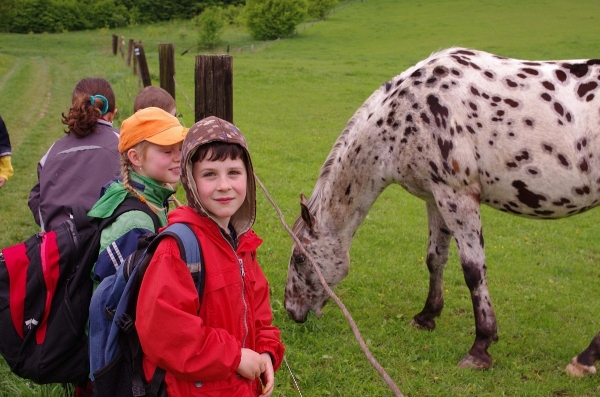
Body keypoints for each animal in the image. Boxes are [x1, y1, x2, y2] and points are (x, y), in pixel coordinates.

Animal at [284, 48, 600, 370]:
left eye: (299, 257)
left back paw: (584, 360)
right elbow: (435, 258)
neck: (406, 115)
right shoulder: (435, 197)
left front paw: (480, 346)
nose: (291, 310)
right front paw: (426, 316)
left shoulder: (457, 195)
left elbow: (473, 270)